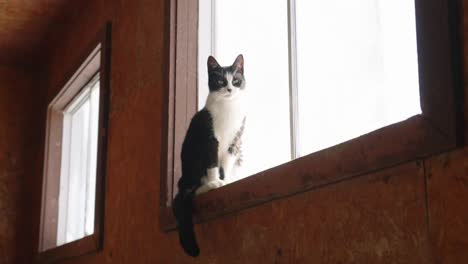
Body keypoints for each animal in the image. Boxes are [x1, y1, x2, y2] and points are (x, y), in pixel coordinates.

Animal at [172, 54, 245, 256]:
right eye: (220, 81)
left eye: (236, 80)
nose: (229, 89)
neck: (228, 109)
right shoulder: (209, 137)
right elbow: (212, 162)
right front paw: (216, 182)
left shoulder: (234, 140)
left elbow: (226, 164)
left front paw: (226, 180)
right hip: (192, 163)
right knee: (191, 190)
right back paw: (207, 186)